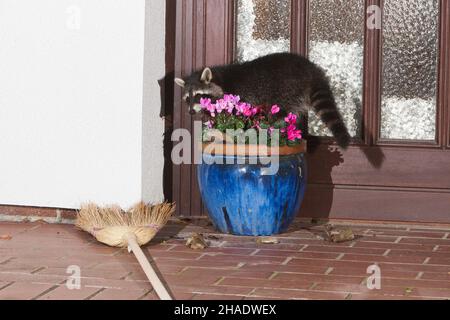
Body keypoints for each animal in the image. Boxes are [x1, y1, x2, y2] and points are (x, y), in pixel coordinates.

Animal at [176, 52, 352, 148]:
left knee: (280, 114)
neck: (218, 78)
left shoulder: (238, 98)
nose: (190, 112)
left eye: (199, 95)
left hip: (286, 91)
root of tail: (310, 69)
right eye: (187, 98)